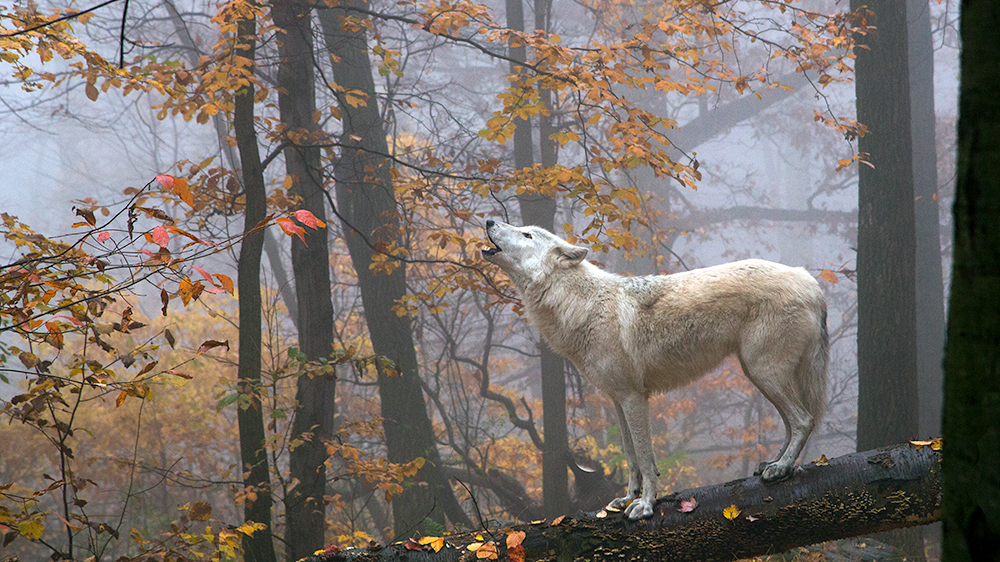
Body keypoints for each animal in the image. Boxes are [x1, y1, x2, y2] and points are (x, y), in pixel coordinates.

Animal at [482, 218, 828, 516]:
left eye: (527, 234)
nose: (489, 220)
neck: (583, 305)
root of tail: (810, 281)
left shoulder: (635, 398)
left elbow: (646, 459)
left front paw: (646, 505)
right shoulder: (617, 400)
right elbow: (630, 456)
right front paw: (626, 498)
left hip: (762, 371)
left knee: (803, 420)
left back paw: (781, 468)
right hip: (758, 373)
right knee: (791, 423)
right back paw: (776, 463)